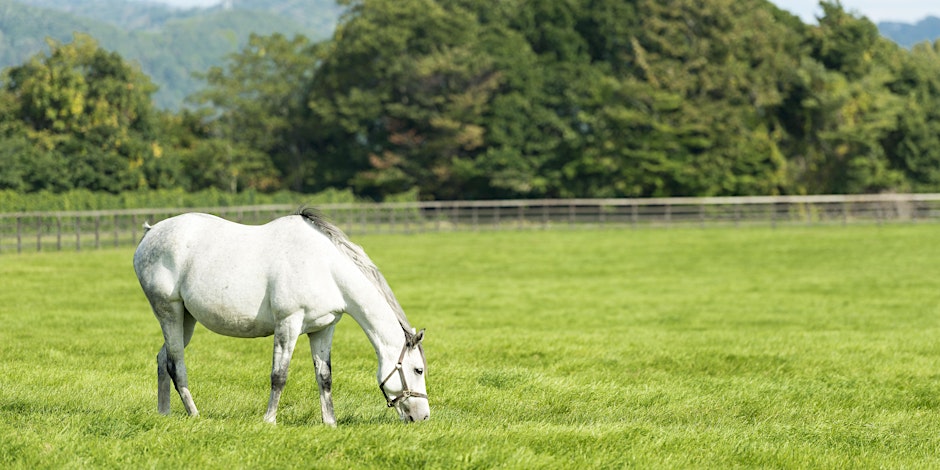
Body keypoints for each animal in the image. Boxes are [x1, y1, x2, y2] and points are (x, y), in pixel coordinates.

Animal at [132, 208, 429, 425]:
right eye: (418, 369)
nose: (423, 416)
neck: (325, 267)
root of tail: (151, 233)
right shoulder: (288, 323)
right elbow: (279, 375)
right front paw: (269, 420)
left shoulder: (323, 330)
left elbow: (324, 377)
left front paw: (330, 423)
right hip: (169, 312)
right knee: (176, 364)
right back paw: (194, 415)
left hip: (186, 320)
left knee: (163, 359)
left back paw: (164, 413)